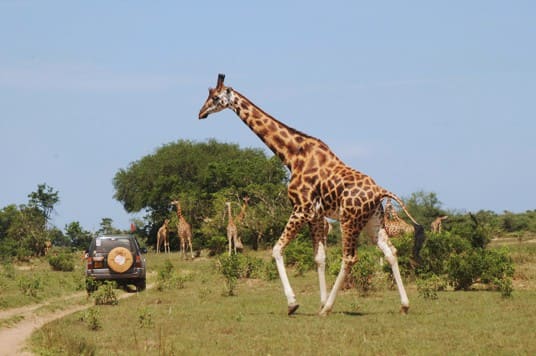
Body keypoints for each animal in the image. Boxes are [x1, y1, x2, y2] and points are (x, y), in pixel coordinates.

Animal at [199, 73, 426, 316]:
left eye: (215, 97)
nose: (200, 113)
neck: (291, 156)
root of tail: (380, 191)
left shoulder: (301, 208)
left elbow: (277, 250)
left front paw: (294, 304)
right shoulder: (316, 214)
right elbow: (319, 257)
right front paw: (318, 301)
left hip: (349, 220)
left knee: (349, 257)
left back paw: (328, 309)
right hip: (373, 221)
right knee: (391, 251)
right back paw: (404, 305)